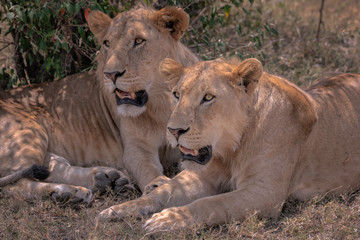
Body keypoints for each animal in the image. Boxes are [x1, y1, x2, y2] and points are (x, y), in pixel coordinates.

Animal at [0, 6, 197, 202]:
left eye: (139, 41)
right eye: (107, 43)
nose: (110, 74)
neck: (162, 102)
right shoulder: (136, 148)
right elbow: (147, 169)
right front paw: (158, 184)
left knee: (54, 166)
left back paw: (105, 179)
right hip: (28, 134)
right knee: (16, 184)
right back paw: (67, 192)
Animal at [97, 56, 360, 232]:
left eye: (208, 98)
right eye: (176, 95)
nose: (174, 130)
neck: (229, 150)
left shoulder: (265, 193)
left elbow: (212, 203)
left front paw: (170, 219)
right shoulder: (202, 176)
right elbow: (164, 191)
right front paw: (121, 208)